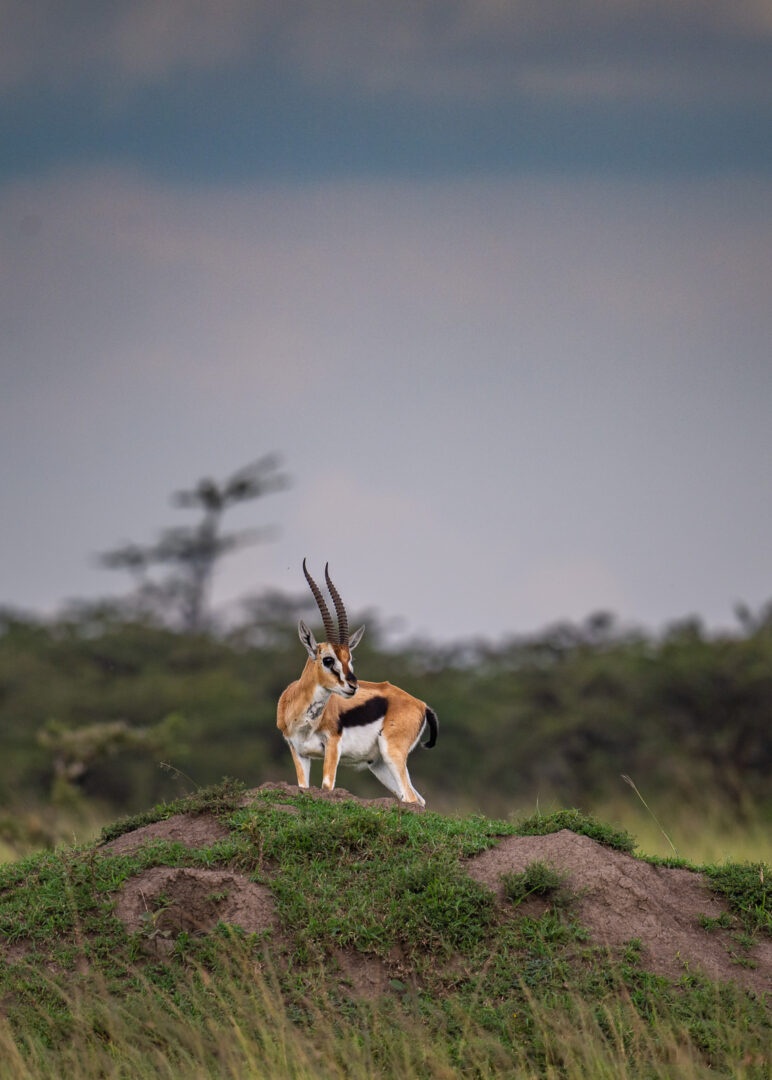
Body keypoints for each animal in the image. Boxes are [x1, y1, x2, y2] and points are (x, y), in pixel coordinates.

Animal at [276, 561, 438, 805]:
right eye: (328, 659)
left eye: (349, 659)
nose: (353, 686)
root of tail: (421, 705)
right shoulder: (298, 751)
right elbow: (303, 786)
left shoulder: (332, 745)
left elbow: (327, 786)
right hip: (379, 764)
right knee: (416, 800)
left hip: (392, 755)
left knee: (410, 798)